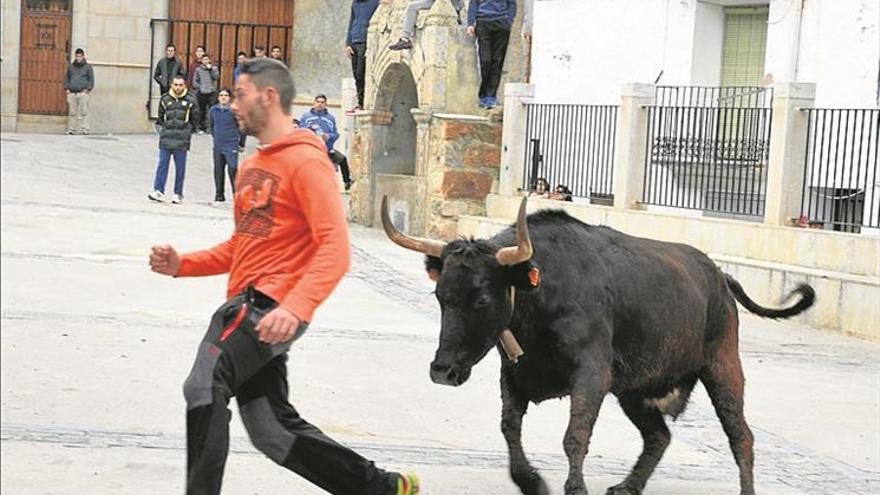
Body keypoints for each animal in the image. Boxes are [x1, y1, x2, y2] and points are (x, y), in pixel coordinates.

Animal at [382, 198, 816, 495]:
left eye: (482, 300)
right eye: (441, 296)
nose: (443, 371)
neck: (541, 291)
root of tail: (720, 276)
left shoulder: (591, 375)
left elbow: (575, 435)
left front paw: (574, 488)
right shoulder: (515, 375)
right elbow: (509, 428)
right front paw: (532, 481)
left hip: (723, 367)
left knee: (740, 435)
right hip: (635, 389)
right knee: (659, 436)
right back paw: (627, 486)